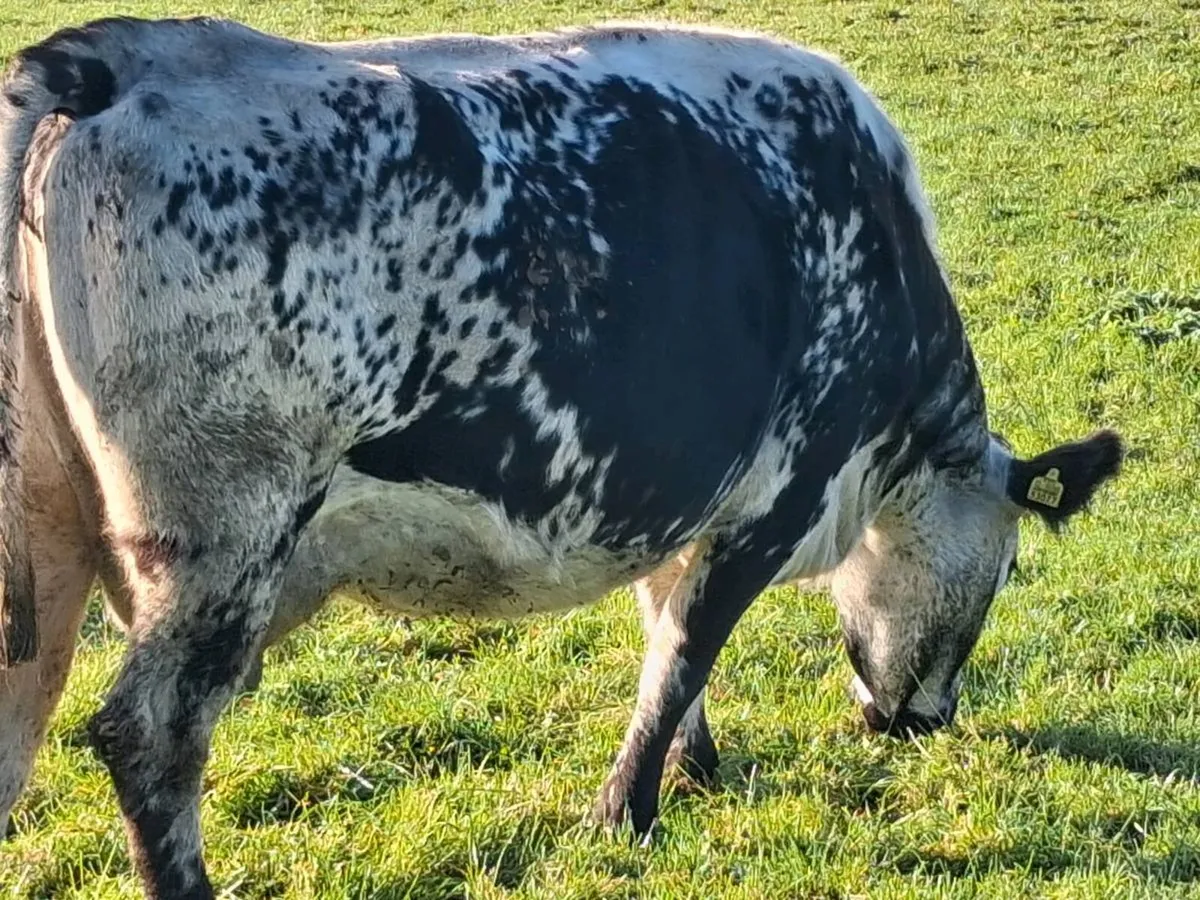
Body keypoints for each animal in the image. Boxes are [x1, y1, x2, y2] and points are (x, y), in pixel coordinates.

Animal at [0, 16, 1123, 898]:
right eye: (1010, 568)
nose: (922, 722)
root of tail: (107, 55)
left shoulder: (676, 494)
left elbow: (665, 634)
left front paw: (693, 769)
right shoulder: (774, 499)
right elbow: (685, 651)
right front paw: (627, 812)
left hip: (44, 544)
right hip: (225, 541)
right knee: (152, 736)